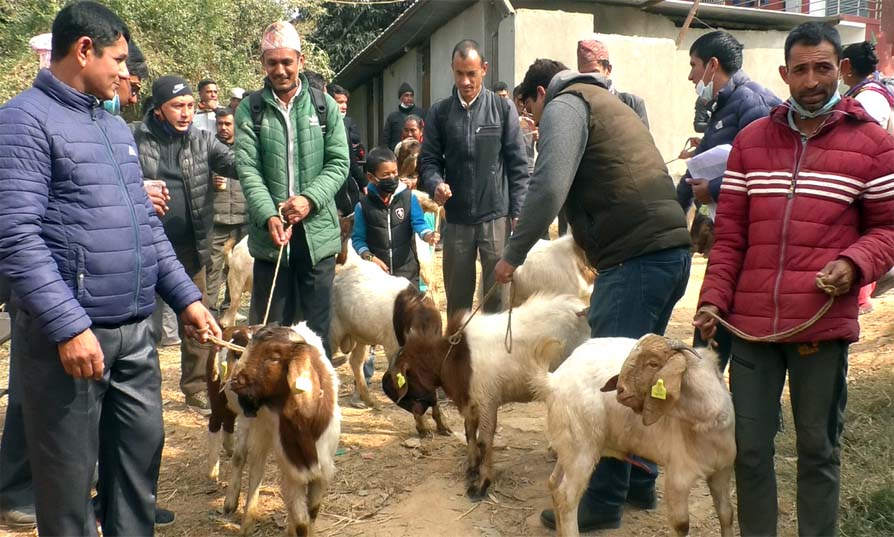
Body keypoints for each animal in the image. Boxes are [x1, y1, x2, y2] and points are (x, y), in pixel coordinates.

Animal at [223, 322, 340, 536]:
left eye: (274, 357)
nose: (234, 381)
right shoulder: (293, 471)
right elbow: (302, 522)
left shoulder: (322, 472)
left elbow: (312, 513)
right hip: (253, 427)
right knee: (248, 464)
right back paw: (240, 513)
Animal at [388, 294, 592, 498]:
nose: (418, 413)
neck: (458, 356)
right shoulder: (471, 401)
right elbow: (469, 432)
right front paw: (472, 468)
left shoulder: (488, 400)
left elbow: (484, 441)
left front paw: (481, 484)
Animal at [532, 332, 736, 532]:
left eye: (653, 363)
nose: (620, 390)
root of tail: (554, 380)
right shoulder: (678, 477)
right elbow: (681, 524)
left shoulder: (722, 470)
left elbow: (726, 514)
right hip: (582, 448)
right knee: (566, 497)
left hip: (569, 443)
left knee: (553, 483)